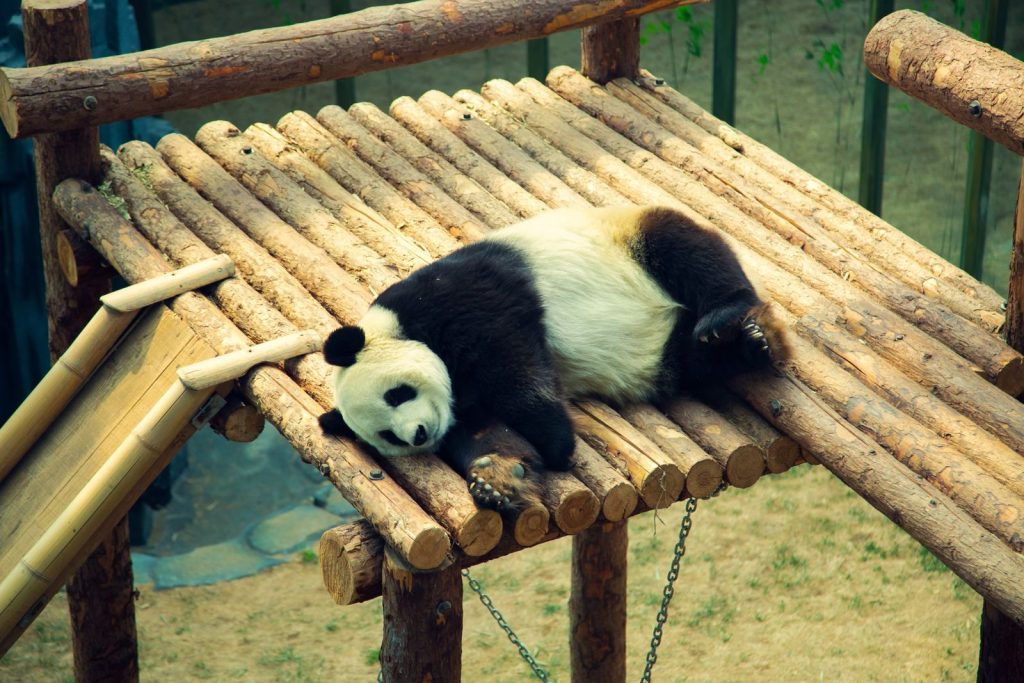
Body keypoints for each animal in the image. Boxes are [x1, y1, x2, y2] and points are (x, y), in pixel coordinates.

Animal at [319, 205, 789, 510]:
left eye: (396, 394)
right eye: (389, 436)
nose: (418, 434)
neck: (401, 329)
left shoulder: (463, 297)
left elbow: (514, 364)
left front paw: (553, 440)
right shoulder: (461, 406)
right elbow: (485, 431)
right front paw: (496, 480)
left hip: (628, 239)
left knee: (688, 249)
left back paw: (736, 323)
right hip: (667, 354)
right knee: (693, 359)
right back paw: (744, 346)